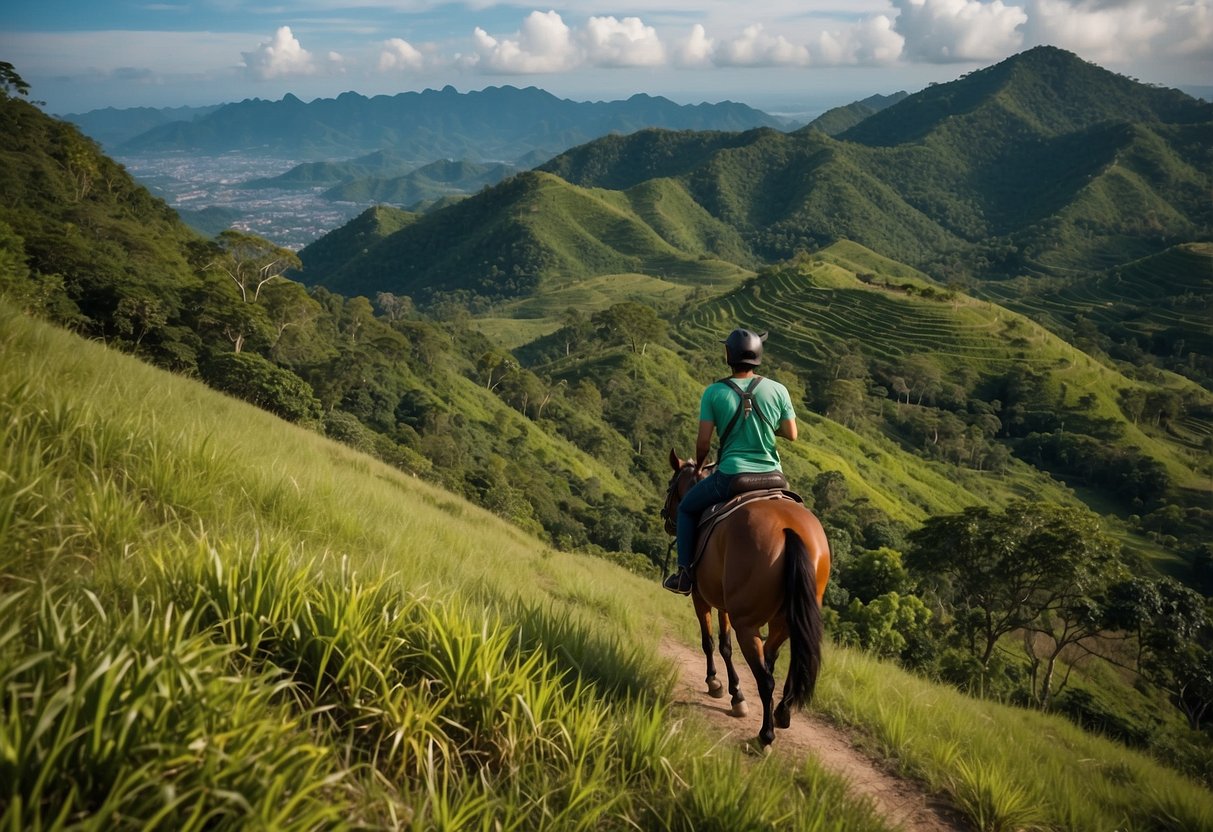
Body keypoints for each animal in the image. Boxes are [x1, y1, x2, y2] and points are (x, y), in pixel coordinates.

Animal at [664, 453, 834, 747]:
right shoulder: (725, 605)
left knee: (765, 678)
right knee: (775, 661)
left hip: (746, 622)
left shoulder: (701, 597)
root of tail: (789, 529)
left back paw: (765, 735)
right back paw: (782, 711)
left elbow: (711, 643)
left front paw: (716, 683)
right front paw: (736, 694)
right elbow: (725, 646)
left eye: (670, 486)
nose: (665, 518)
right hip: (785, 620)